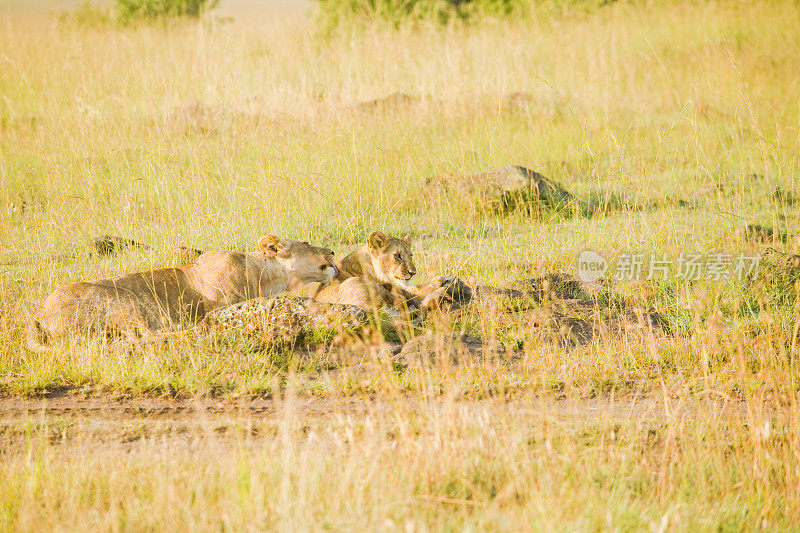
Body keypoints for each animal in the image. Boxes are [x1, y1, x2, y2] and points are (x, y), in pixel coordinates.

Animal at [26, 234, 336, 350]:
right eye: (306, 242)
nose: (333, 252)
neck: (264, 275)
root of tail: (37, 315)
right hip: (124, 299)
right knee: (144, 337)